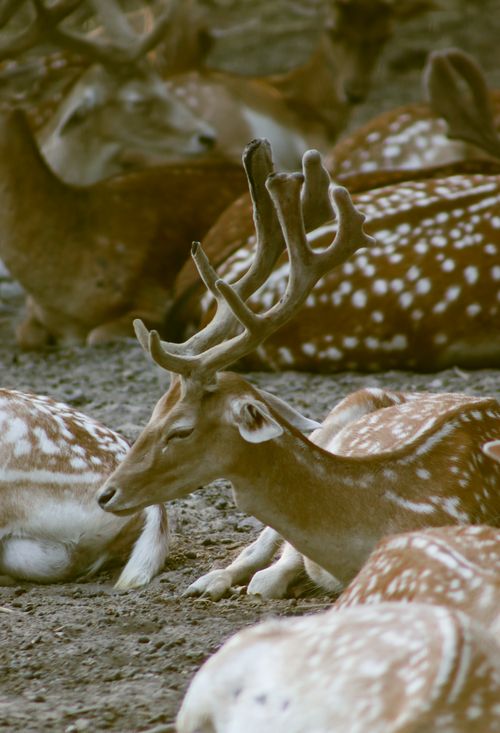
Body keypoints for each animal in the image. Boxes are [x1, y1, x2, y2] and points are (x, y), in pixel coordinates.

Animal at [94, 141, 500, 607]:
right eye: (151, 415)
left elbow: (270, 580)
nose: (105, 493)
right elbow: (271, 568)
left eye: (181, 430)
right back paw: (208, 580)